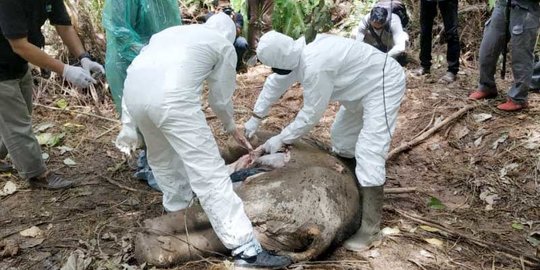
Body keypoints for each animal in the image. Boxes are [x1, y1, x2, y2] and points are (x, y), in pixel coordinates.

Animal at [135, 133, 362, 266]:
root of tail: (327, 229)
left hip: (262, 198)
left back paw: (146, 232)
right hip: (271, 235)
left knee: (203, 215)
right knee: (213, 238)